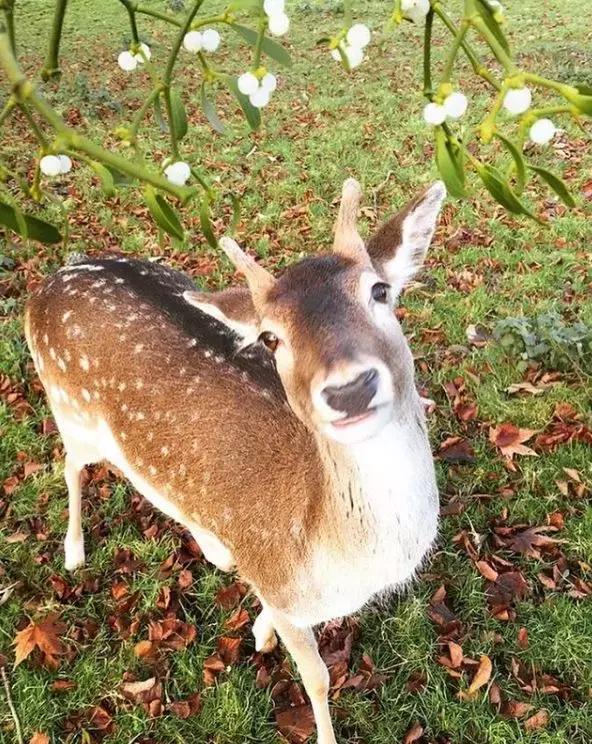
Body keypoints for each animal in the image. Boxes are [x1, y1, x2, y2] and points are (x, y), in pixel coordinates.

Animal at [25, 177, 446, 740]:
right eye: (270, 336)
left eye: (380, 291)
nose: (350, 389)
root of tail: (54, 275)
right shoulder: (287, 591)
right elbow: (316, 678)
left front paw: (259, 629)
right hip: (66, 404)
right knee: (70, 464)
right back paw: (74, 551)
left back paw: (215, 548)